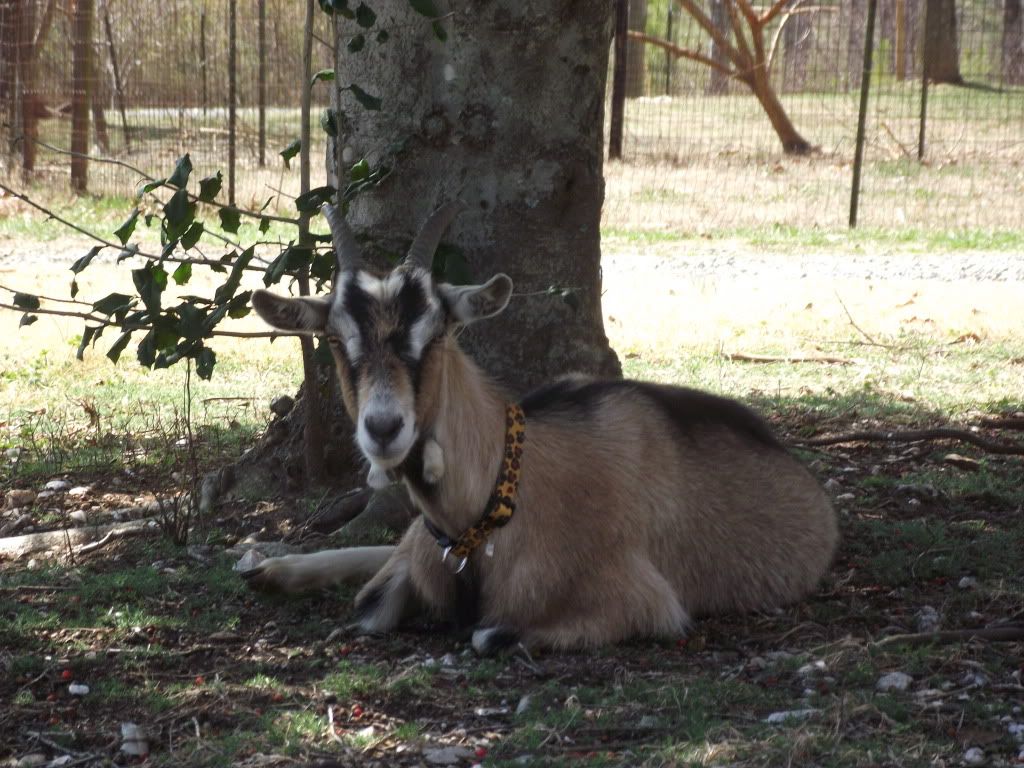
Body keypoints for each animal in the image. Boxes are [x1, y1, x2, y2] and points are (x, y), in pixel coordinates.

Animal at [245, 202, 839, 653]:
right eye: (335, 338)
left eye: (437, 332)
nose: (384, 428)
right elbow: (372, 602)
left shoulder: (641, 601)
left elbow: (487, 635)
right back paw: (269, 566)